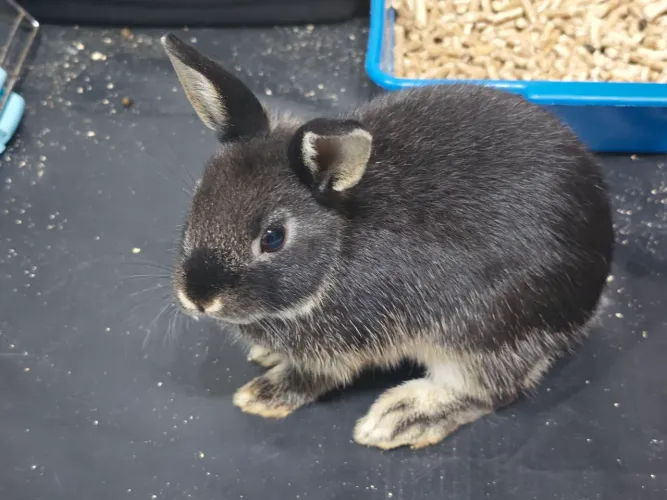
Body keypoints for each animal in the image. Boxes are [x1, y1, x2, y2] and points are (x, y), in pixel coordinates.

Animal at [161, 33, 614, 450]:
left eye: (273, 238)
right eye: (200, 197)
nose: (199, 297)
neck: (340, 244)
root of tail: (592, 294)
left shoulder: (342, 348)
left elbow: (314, 376)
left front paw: (261, 396)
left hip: (484, 334)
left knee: (491, 390)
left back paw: (400, 418)